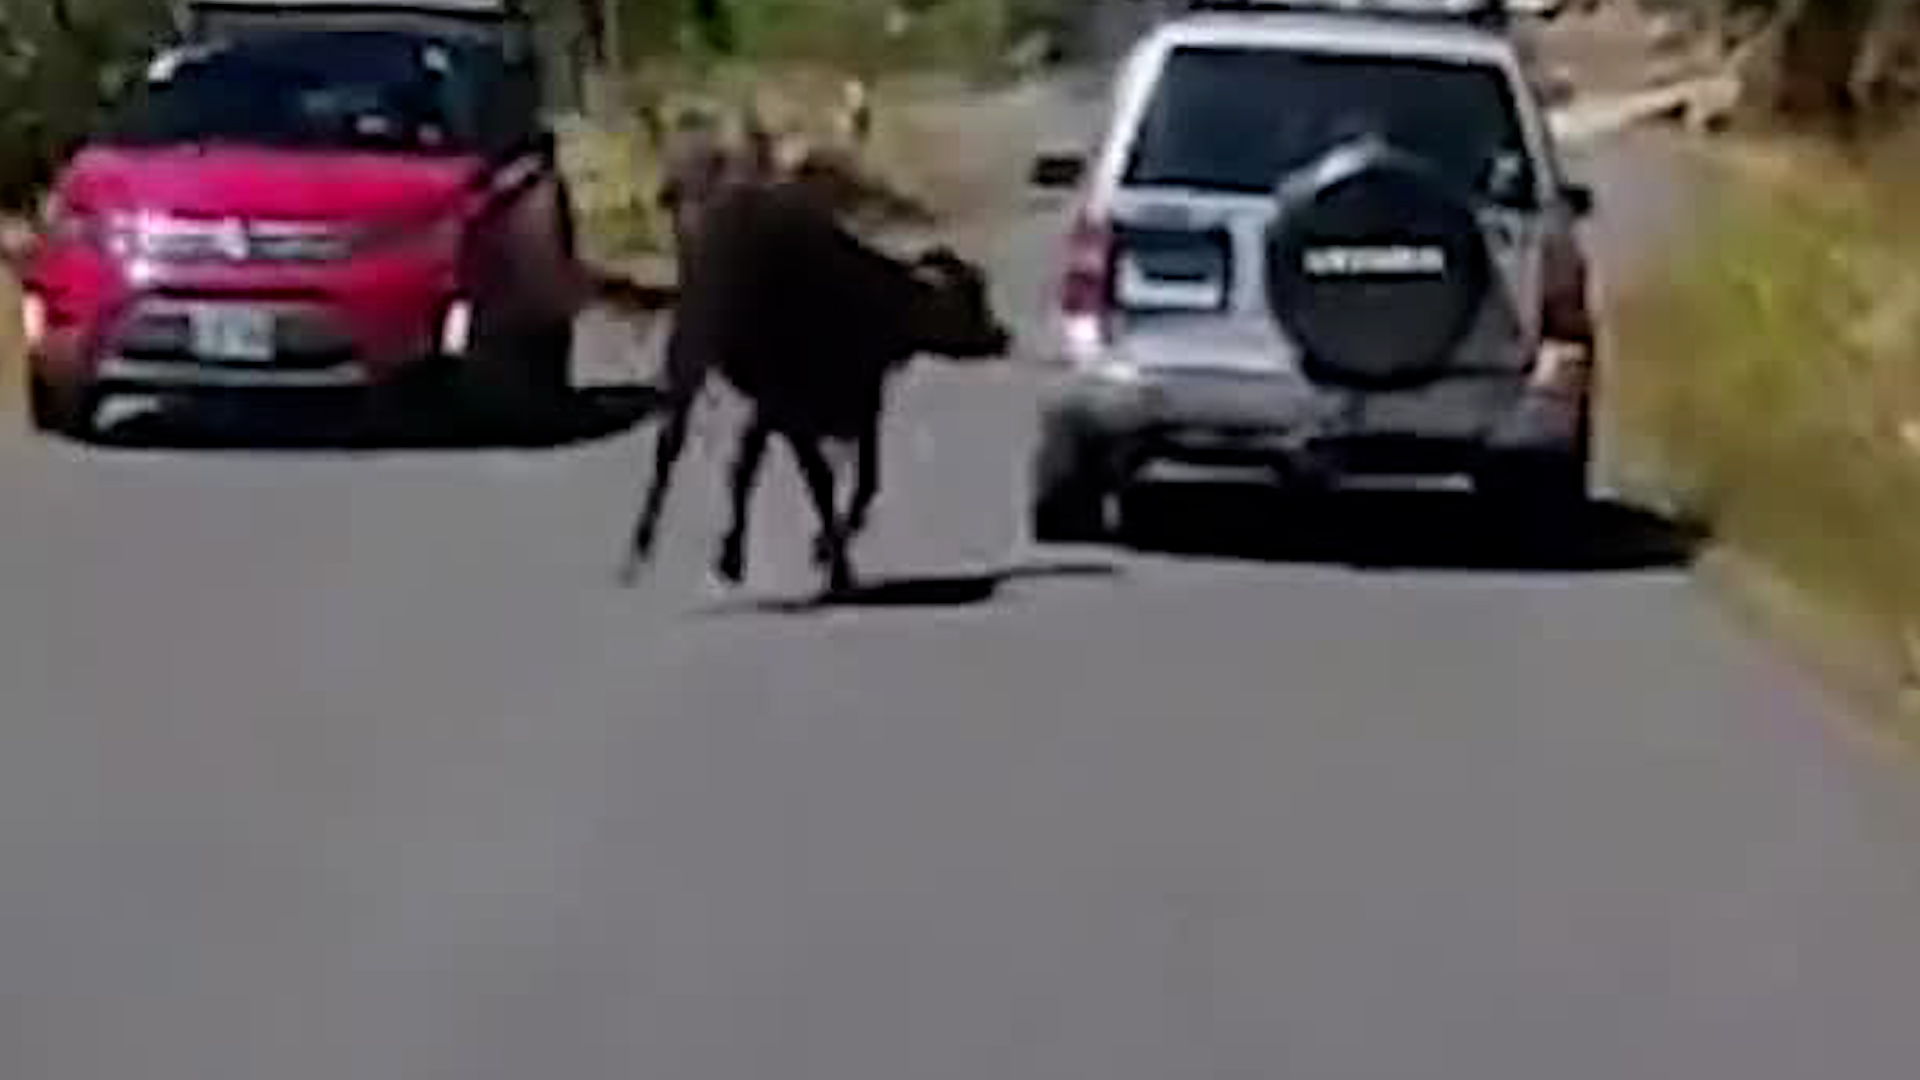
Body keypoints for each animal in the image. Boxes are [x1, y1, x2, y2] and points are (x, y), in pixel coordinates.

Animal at [607, 176, 1013, 594]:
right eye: (968, 300)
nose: (1002, 337)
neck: (867, 307)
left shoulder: (860, 410)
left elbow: (866, 482)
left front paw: (823, 551)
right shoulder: (792, 415)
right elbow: (821, 483)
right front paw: (836, 566)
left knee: (740, 468)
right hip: (690, 362)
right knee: (671, 450)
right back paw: (642, 554)